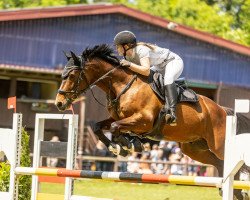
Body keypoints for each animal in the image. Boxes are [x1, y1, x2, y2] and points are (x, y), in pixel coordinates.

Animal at [56, 44, 250, 199]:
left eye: (71, 76)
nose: (59, 103)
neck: (123, 85)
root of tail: (222, 110)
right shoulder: (121, 118)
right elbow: (100, 126)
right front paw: (121, 145)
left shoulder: (144, 121)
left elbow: (115, 127)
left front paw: (127, 145)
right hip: (194, 149)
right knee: (220, 164)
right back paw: (234, 192)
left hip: (219, 145)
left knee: (232, 163)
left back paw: (239, 191)